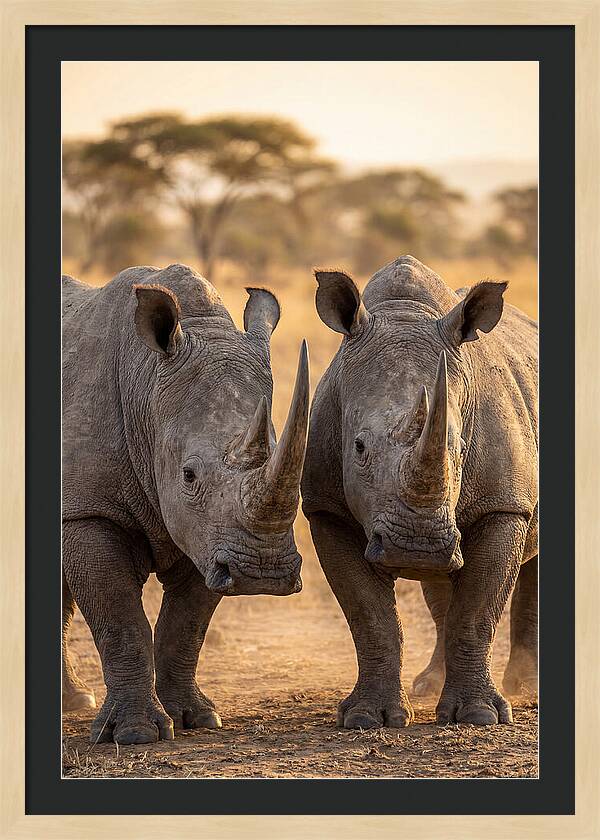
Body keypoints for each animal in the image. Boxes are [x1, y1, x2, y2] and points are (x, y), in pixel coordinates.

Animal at [62, 263, 309, 744]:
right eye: (189, 475)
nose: (262, 573)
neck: (146, 385)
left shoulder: (210, 534)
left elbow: (186, 624)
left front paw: (196, 718)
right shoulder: (88, 508)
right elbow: (120, 619)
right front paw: (135, 734)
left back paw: (74, 701)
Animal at [302, 256, 537, 728]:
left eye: (459, 448)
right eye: (358, 447)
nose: (417, 546)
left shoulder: (504, 506)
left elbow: (478, 612)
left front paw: (480, 717)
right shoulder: (326, 508)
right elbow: (370, 617)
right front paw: (367, 718)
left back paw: (527, 686)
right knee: (441, 585)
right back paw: (429, 685)